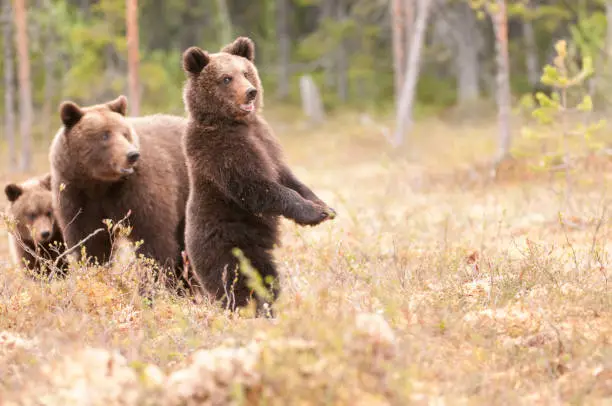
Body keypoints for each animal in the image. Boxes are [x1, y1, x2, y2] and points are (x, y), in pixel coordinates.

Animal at [49, 94, 190, 288]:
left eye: (124, 133)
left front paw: (152, 285)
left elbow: (153, 241)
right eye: (105, 134)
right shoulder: (76, 195)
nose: (132, 155)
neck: (100, 183)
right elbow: (91, 244)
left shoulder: (136, 192)